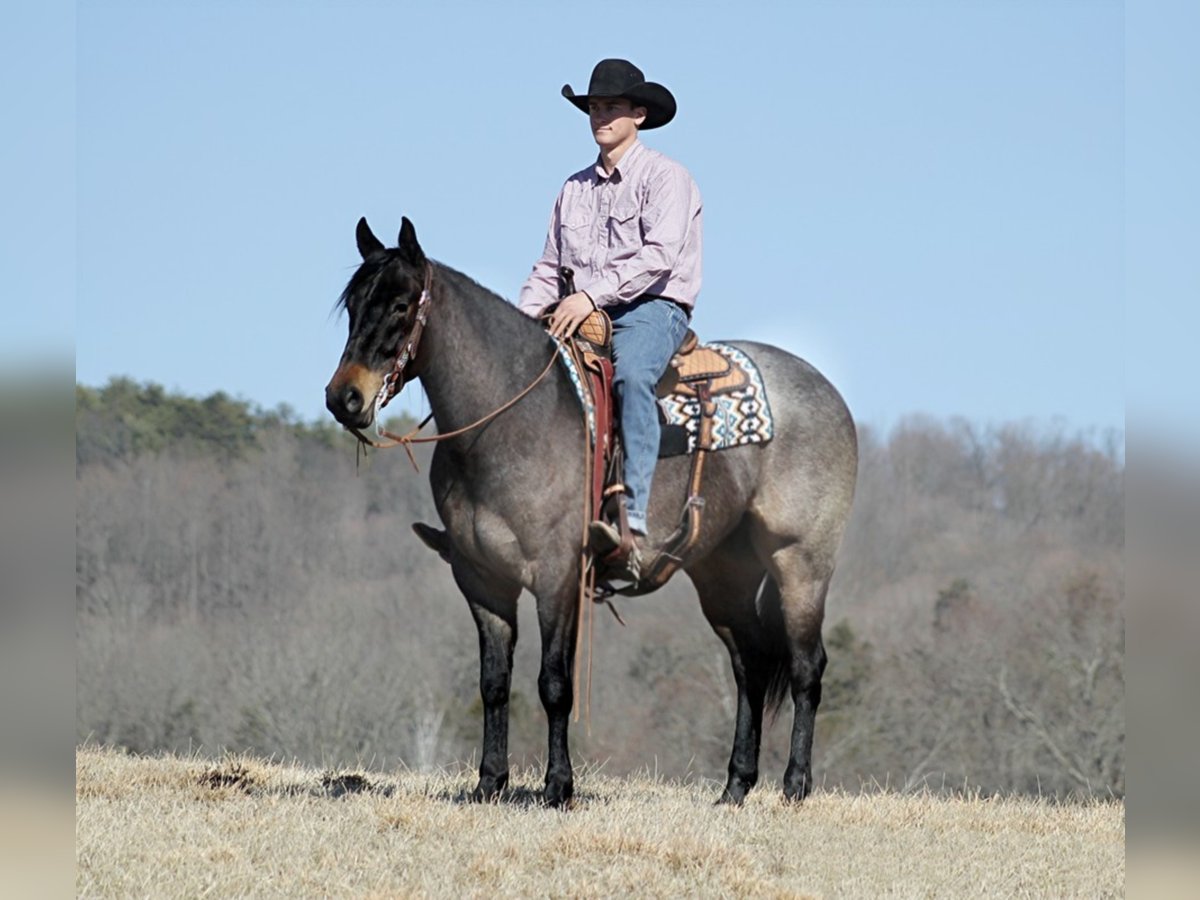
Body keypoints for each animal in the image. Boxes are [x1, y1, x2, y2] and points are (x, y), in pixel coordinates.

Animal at [324, 218, 859, 811]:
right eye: (353, 306)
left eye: (400, 305)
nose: (344, 398)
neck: (509, 421)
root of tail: (826, 391)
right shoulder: (481, 580)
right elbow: (494, 684)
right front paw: (489, 783)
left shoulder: (557, 575)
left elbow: (554, 684)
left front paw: (558, 787)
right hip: (723, 575)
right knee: (752, 666)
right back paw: (735, 787)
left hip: (802, 562)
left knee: (807, 666)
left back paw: (795, 785)